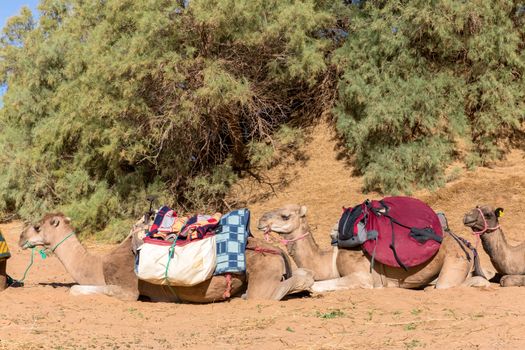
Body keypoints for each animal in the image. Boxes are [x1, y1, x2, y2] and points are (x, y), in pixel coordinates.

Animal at [18, 212, 314, 302]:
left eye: (37, 226)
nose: (20, 238)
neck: (98, 266)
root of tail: (277, 250)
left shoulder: (127, 288)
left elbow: (79, 289)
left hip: (261, 271)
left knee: (268, 292)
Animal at [256, 204, 490, 292]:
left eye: (285, 215)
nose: (260, 220)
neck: (330, 260)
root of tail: (467, 245)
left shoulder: (364, 276)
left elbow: (315, 286)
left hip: (455, 258)